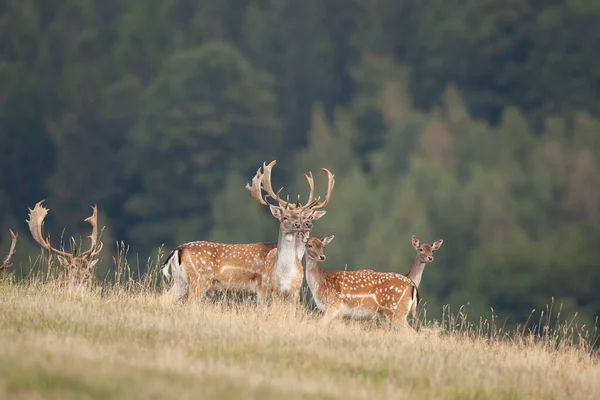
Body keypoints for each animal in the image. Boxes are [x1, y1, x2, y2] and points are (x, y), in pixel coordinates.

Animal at [161, 159, 332, 304]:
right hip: (200, 280)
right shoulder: (262, 287)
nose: (306, 224)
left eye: (309, 216)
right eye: (285, 216)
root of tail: (178, 250)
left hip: (180, 282)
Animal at [304, 234, 440, 332]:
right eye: (309, 245)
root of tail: (412, 285)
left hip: (396, 312)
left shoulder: (334, 306)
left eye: (323, 246)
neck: (320, 284)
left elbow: (319, 325)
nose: (322, 256)